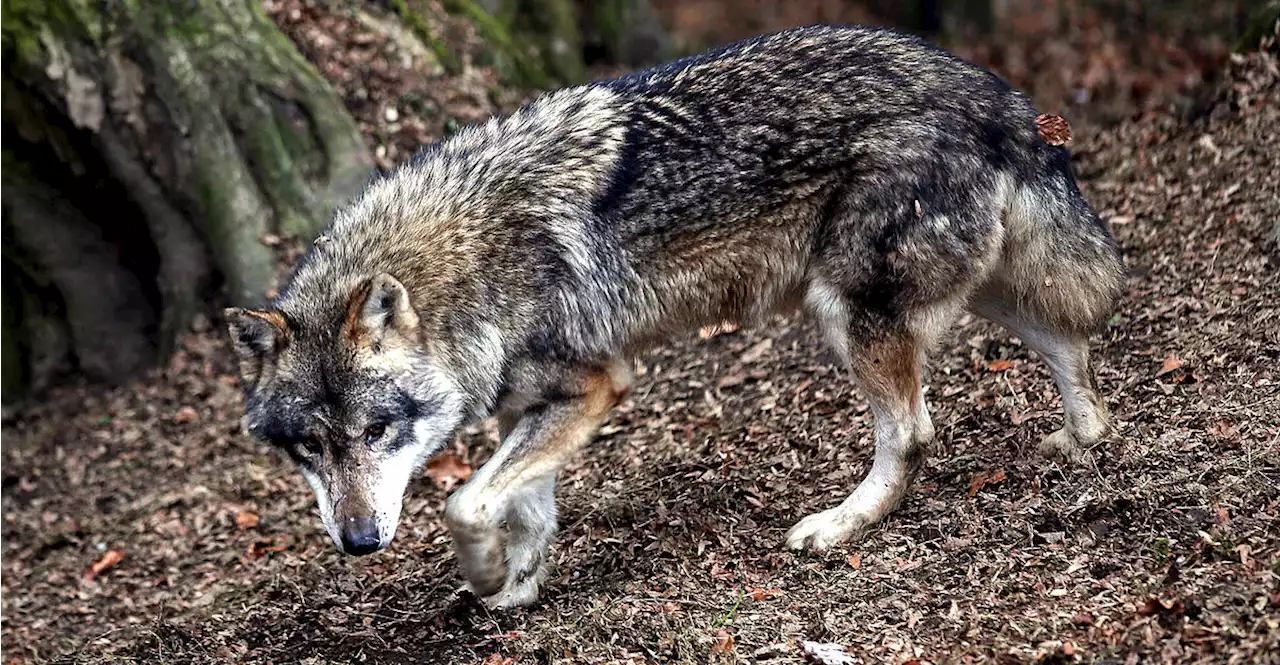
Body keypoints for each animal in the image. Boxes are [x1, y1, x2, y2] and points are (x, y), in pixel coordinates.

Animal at [225, 24, 1126, 608]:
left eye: (378, 431)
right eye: (310, 447)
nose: (360, 542)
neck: (464, 265)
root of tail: (998, 96)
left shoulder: (597, 385)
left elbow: (465, 502)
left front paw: (484, 577)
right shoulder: (535, 403)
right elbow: (524, 505)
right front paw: (517, 584)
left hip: (848, 310)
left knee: (913, 433)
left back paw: (839, 526)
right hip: (977, 286)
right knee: (1071, 343)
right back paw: (1080, 439)